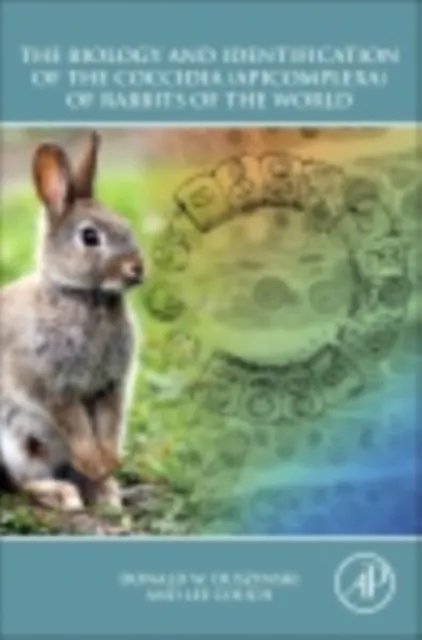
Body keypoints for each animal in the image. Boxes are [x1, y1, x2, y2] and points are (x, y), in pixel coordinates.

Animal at [0, 131, 144, 511]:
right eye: (90, 237)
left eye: (126, 225)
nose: (137, 268)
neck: (84, 296)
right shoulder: (52, 386)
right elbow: (74, 425)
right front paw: (94, 463)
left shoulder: (110, 386)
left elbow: (109, 426)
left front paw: (107, 467)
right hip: (11, 443)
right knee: (20, 483)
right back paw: (62, 494)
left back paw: (107, 494)